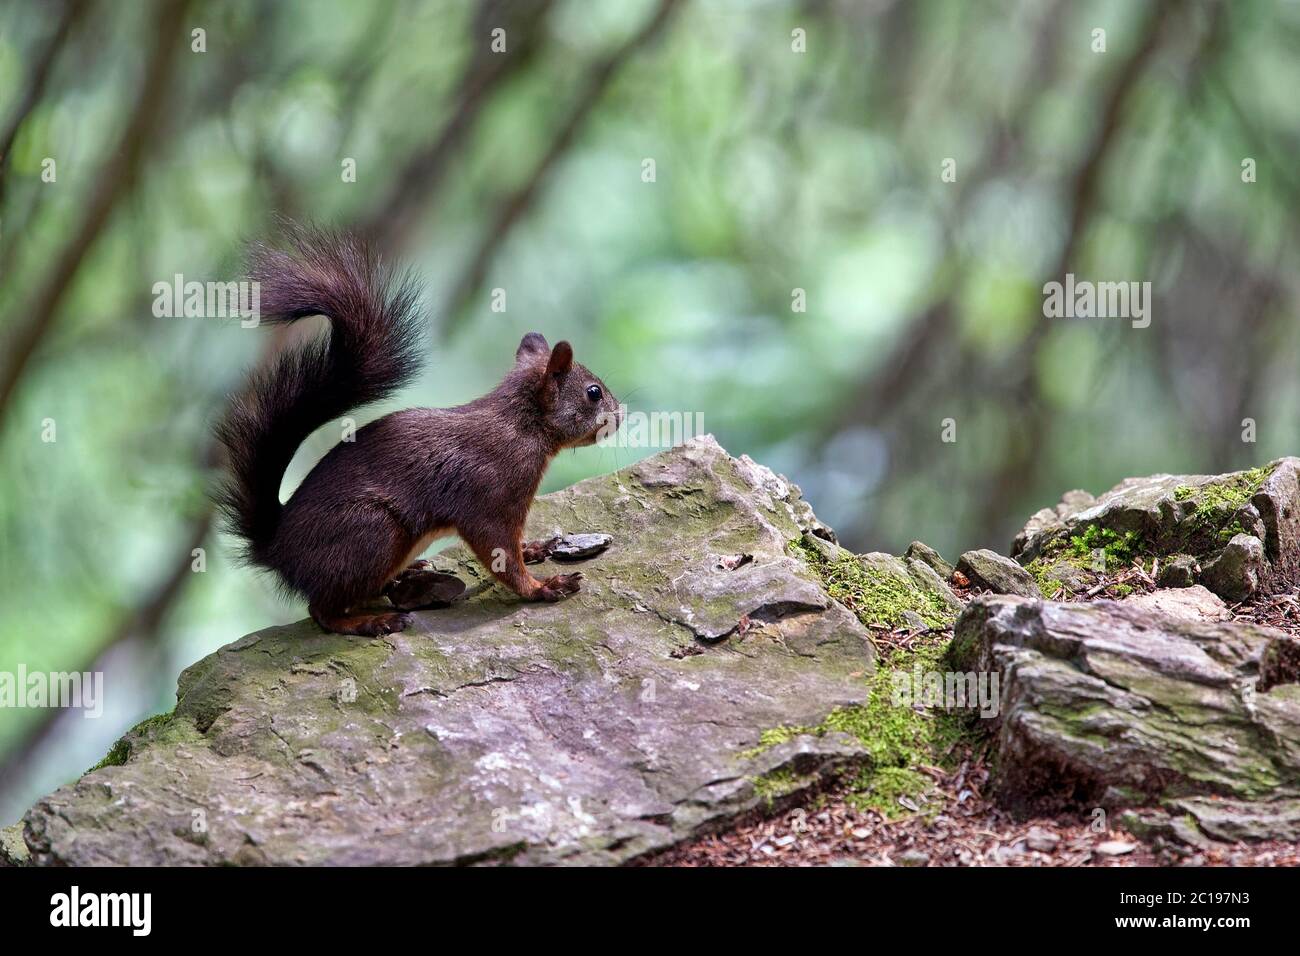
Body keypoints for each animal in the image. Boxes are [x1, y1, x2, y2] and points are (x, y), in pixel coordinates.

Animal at [214, 225, 622, 636]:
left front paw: (533, 549)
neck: (522, 426)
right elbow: (498, 551)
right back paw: (370, 621)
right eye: (593, 393)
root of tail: (276, 549)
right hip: (372, 531)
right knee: (322, 611)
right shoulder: (491, 495)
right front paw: (543, 587)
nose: (621, 415)